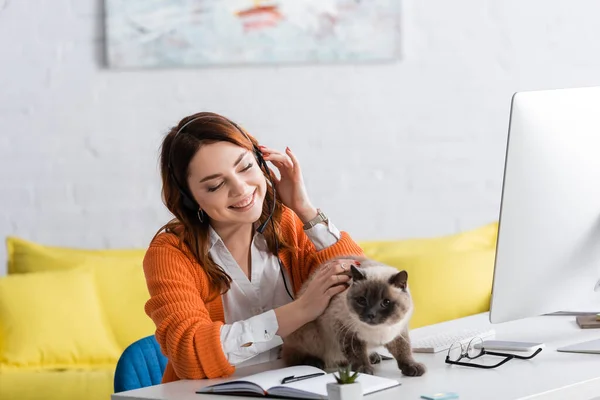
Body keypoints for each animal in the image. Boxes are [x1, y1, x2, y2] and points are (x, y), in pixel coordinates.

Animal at [282, 258, 426, 376]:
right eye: (362, 300)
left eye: (386, 302)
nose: (371, 315)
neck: (377, 330)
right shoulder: (348, 332)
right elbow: (357, 354)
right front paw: (364, 370)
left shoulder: (398, 332)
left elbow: (404, 351)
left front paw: (412, 367)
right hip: (310, 333)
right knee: (293, 357)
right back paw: (314, 363)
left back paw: (374, 357)